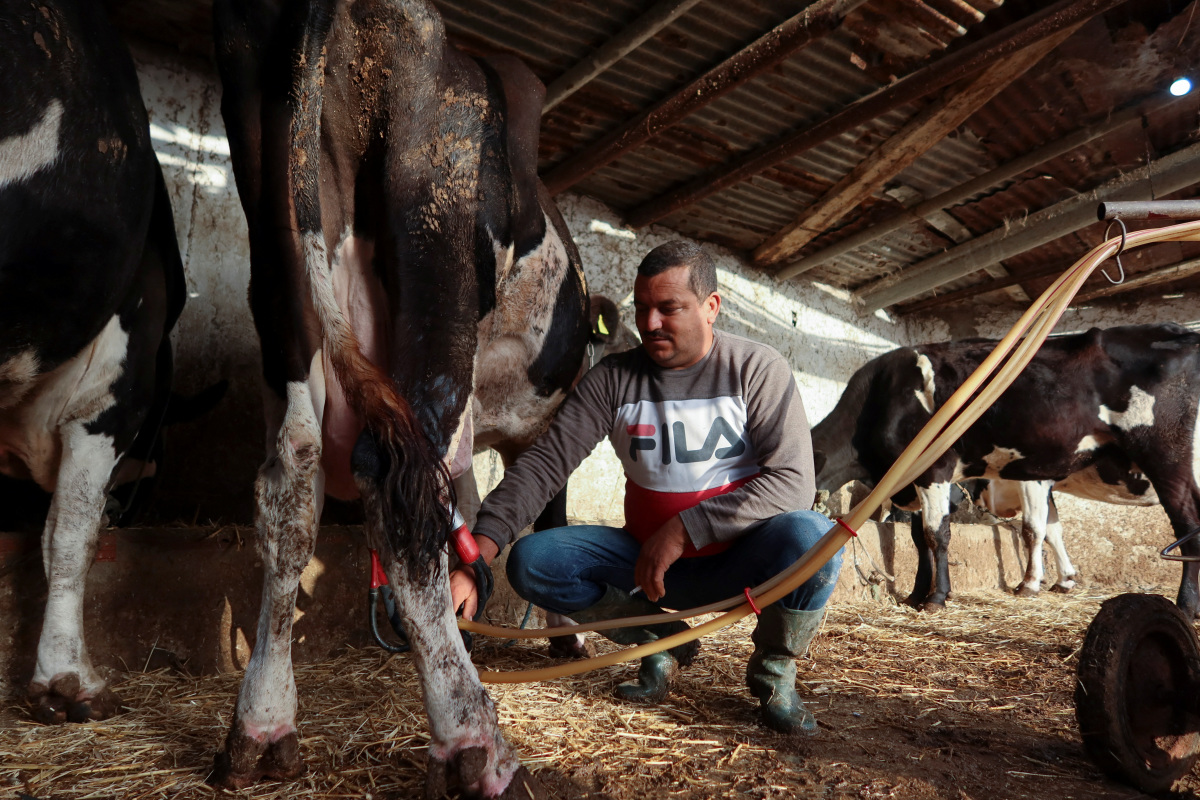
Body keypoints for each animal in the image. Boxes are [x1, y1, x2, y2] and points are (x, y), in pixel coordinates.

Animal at [212, 1, 595, 796]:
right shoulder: (544, 418)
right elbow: (541, 508)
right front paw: (563, 637)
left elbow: (471, 508)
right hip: (436, 267)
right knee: (398, 491)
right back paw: (475, 743)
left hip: (280, 266)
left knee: (292, 480)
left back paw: (262, 727)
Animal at [811, 321, 1200, 618]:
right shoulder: (912, 482)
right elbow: (919, 538)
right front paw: (917, 594)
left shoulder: (937, 470)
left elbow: (942, 534)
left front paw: (938, 597)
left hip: (1165, 454)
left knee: (1187, 525)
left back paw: (1186, 605)